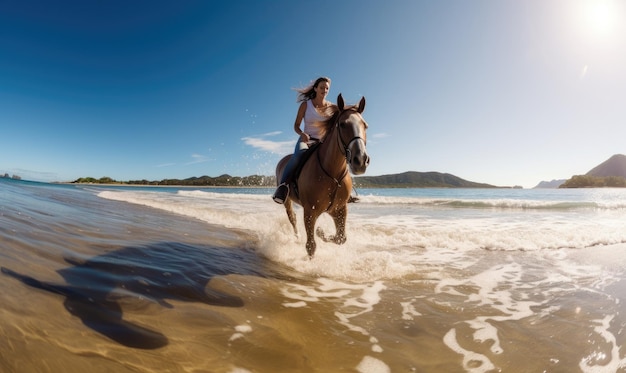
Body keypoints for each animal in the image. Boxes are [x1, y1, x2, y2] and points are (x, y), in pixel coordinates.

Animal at [276, 93, 368, 258]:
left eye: (365, 125)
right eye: (342, 124)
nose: (360, 160)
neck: (333, 173)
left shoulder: (339, 209)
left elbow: (340, 238)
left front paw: (321, 232)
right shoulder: (310, 212)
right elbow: (311, 246)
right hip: (287, 201)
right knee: (292, 219)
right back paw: (297, 236)